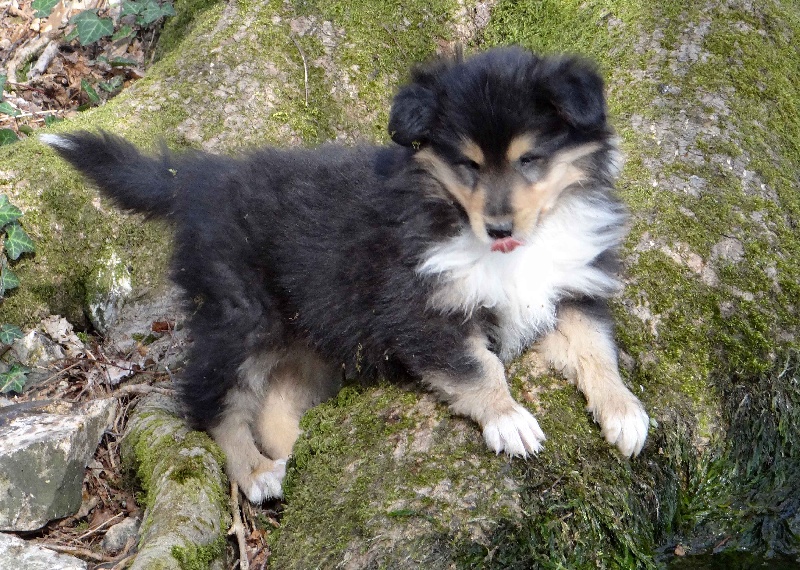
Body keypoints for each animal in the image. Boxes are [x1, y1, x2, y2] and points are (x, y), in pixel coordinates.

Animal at [43, 47, 649, 503]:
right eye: (468, 165)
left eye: (530, 160)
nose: (498, 227)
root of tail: (200, 178)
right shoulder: (422, 310)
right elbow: (479, 368)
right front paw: (510, 420)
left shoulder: (570, 291)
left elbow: (597, 350)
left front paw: (625, 413)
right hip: (240, 313)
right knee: (210, 397)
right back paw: (254, 472)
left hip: (309, 336)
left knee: (275, 404)